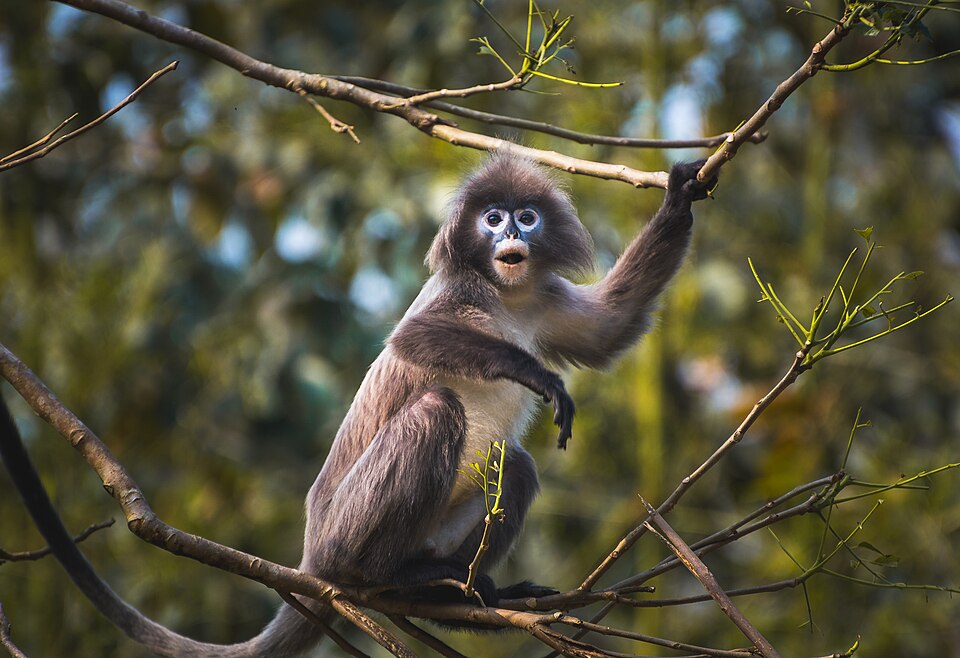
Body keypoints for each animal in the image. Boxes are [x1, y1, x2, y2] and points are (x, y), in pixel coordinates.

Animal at [0, 154, 717, 657]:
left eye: (526, 216)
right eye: (492, 218)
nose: (510, 230)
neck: (506, 297)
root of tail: (311, 557)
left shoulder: (543, 301)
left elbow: (609, 329)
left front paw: (680, 199)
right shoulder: (456, 292)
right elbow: (412, 338)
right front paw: (532, 372)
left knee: (514, 462)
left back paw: (456, 595)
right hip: (350, 524)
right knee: (435, 411)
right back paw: (385, 581)